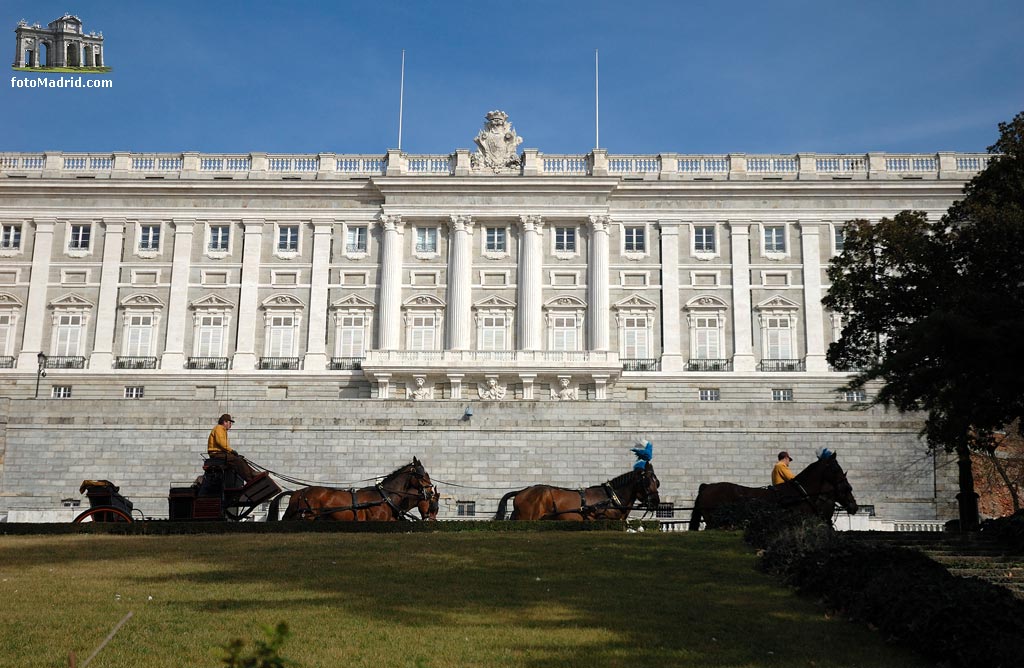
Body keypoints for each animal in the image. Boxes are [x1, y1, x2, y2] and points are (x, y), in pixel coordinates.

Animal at [493, 465, 659, 522]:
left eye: (657, 482)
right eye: (646, 482)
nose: (656, 502)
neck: (610, 497)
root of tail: (522, 490)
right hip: (526, 518)